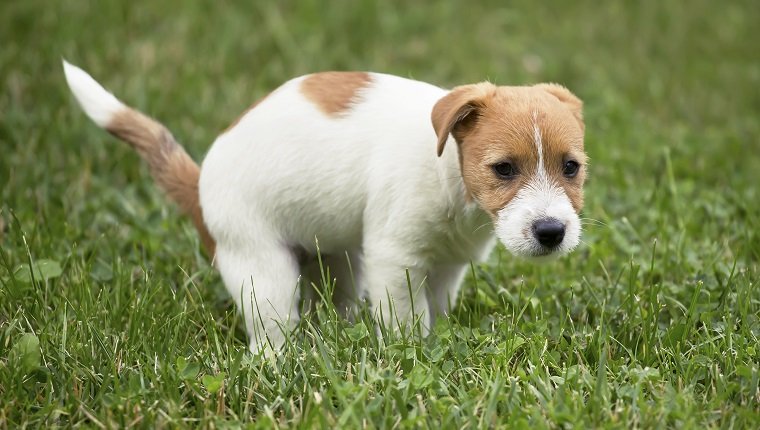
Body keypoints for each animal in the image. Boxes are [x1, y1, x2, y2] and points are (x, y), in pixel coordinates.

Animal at [65, 61, 588, 356]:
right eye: (503, 169)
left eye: (571, 167)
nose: (551, 231)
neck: (451, 175)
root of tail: (199, 187)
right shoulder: (395, 260)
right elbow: (407, 318)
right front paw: (411, 352)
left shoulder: (447, 265)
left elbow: (435, 308)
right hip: (264, 273)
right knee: (269, 336)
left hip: (338, 260)